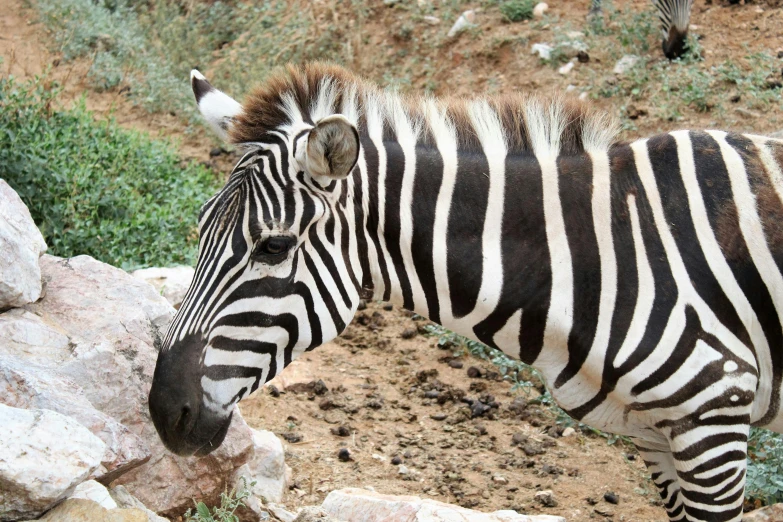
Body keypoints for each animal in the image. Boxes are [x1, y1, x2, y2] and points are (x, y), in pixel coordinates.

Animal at [150, 62, 783, 520]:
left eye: (274, 247)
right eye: (200, 228)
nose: (162, 413)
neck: (593, 258)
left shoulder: (714, 416)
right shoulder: (656, 436)